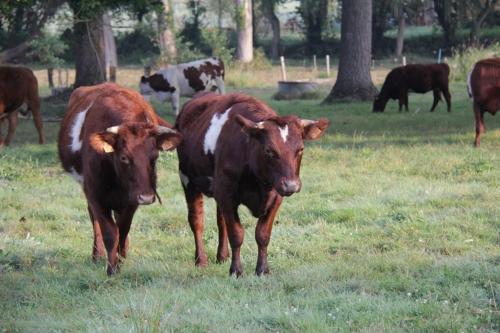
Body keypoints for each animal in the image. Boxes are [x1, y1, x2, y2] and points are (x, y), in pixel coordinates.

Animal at [57, 82, 182, 272]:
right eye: (124, 157)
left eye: (154, 157)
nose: (147, 197)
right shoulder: (95, 194)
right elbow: (109, 232)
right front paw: (111, 268)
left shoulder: (131, 199)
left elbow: (123, 230)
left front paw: (121, 259)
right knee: (94, 219)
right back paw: (97, 255)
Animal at [174, 92, 330, 276]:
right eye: (269, 150)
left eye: (301, 149)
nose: (291, 185)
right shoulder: (226, 193)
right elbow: (236, 233)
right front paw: (236, 271)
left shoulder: (275, 196)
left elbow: (262, 234)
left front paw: (262, 270)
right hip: (188, 180)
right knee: (197, 221)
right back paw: (201, 260)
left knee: (221, 221)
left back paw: (222, 256)